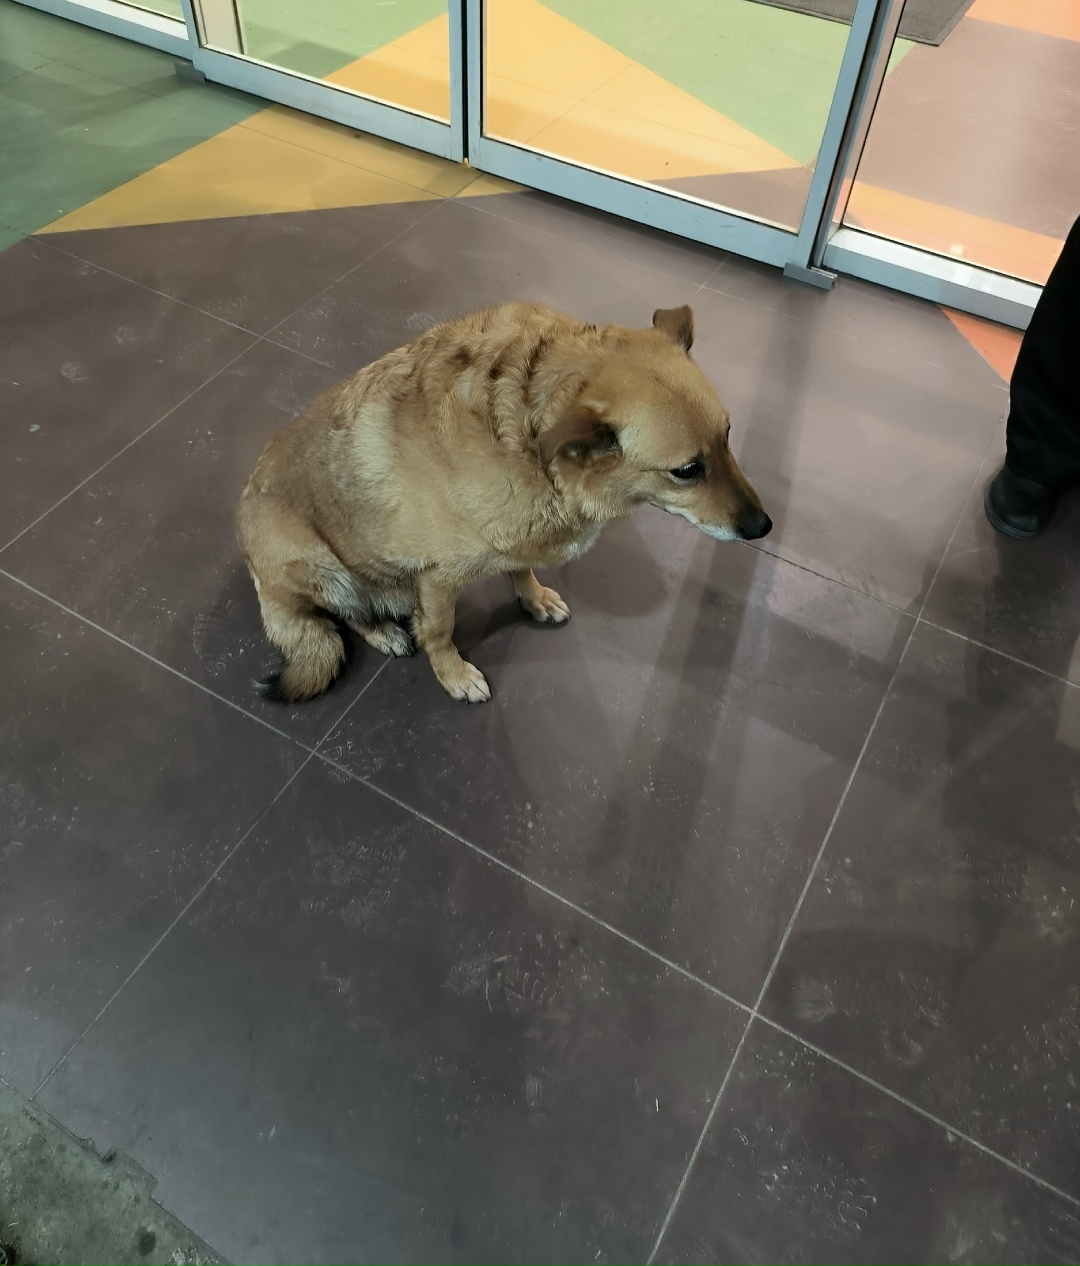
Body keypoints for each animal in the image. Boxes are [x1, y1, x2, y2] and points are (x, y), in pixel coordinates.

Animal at [236, 301, 770, 705]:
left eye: (728, 436)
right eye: (687, 470)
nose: (763, 527)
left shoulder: (514, 534)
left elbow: (519, 567)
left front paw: (532, 597)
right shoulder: (436, 579)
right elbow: (439, 631)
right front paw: (453, 674)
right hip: (321, 565)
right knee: (348, 613)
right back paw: (384, 630)